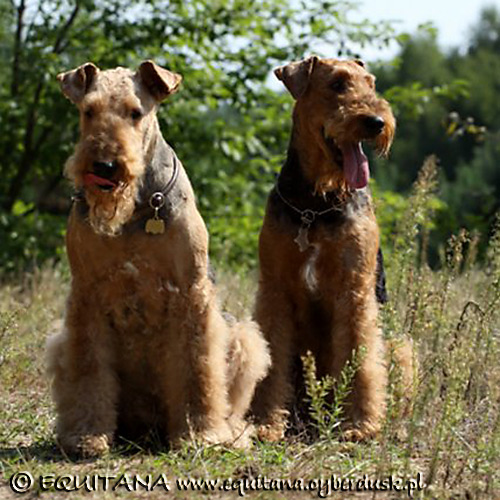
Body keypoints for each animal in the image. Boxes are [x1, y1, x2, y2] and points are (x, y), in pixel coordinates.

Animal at [47, 60, 270, 456]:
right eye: (88, 111)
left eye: (136, 113)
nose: (104, 165)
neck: (135, 210)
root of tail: (148, 428)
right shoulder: (86, 296)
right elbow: (88, 368)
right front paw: (86, 436)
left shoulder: (190, 293)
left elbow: (196, 367)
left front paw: (199, 434)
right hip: (61, 342)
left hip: (244, 339)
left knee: (233, 407)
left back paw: (233, 434)